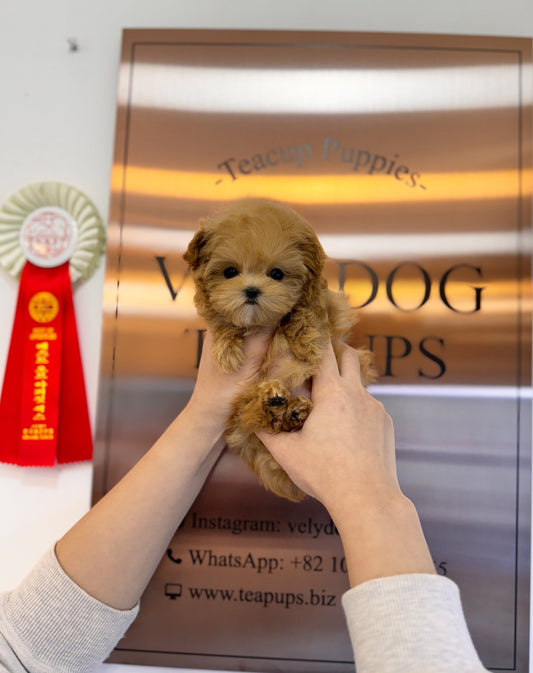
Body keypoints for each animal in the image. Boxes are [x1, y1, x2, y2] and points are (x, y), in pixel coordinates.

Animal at [185, 197, 376, 502]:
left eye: (277, 274)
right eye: (230, 272)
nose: (251, 290)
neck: (261, 324)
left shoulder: (327, 306)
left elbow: (306, 309)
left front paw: (305, 340)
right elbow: (221, 320)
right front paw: (227, 348)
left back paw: (293, 412)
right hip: (242, 420)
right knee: (253, 416)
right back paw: (277, 407)